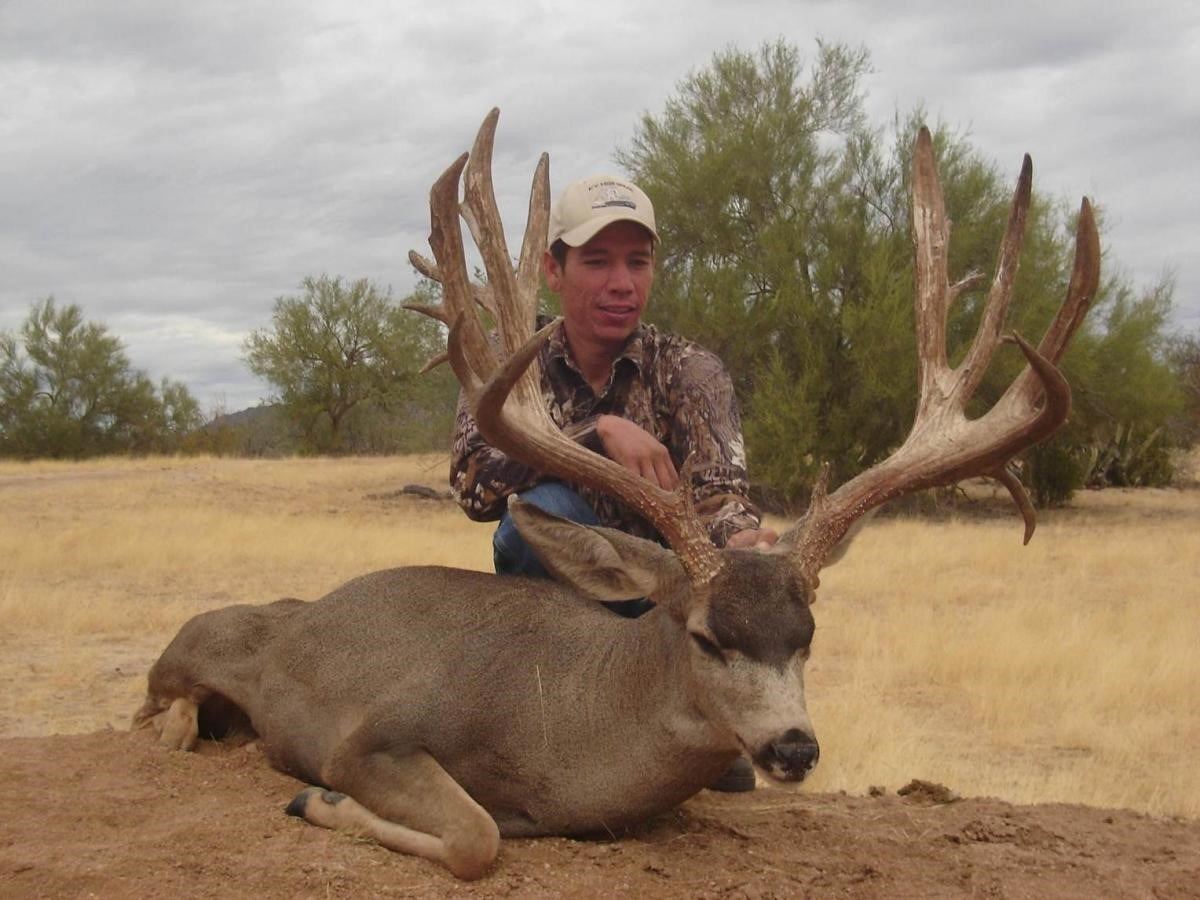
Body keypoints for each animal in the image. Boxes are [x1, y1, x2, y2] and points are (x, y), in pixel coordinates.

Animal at [133, 109, 1099, 881]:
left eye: (810, 636)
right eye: (707, 636)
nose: (793, 747)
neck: (560, 727)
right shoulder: (370, 736)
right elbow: (477, 836)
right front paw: (318, 803)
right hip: (191, 647)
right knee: (162, 708)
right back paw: (185, 727)